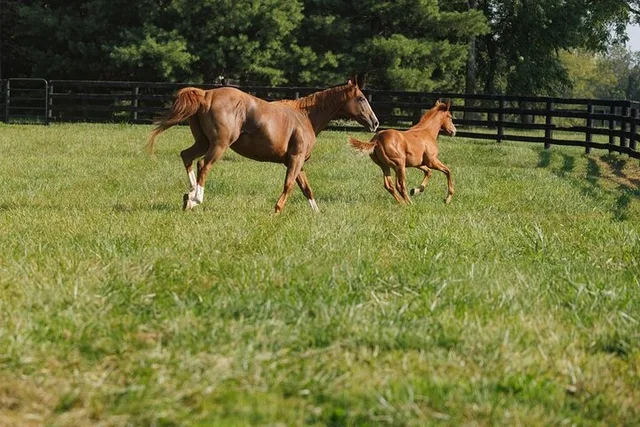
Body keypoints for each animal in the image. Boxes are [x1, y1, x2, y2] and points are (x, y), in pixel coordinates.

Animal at [147, 77, 378, 213]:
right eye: (360, 98)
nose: (375, 123)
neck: (306, 117)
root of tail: (206, 95)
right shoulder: (295, 160)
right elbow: (289, 185)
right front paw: (276, 210)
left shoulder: (299, 163)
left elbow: (307, 189)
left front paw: (316, 213)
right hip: (219, 145)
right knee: (203, 165)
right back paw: (197, 198)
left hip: (203, 142)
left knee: (186, 156)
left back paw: (189, 196)